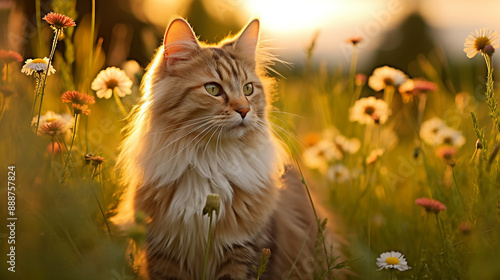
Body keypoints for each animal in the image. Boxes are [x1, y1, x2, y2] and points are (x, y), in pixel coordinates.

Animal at [113, 18, 328, 280]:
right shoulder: (164, 255)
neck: (209, 161)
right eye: (213, 89)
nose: (244, 110)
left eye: (248, 89)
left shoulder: (244, 251)